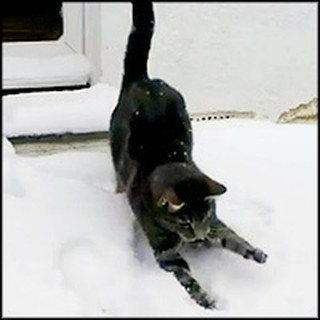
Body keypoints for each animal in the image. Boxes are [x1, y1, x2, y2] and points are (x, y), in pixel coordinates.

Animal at [110, 0, 268, 310]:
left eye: (204, 213)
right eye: (184, 221)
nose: (198, 238)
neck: (167, 160)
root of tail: (143, 79)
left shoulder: (214, 224)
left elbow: (232, 237)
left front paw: (253, 251)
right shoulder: (166, 254)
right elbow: (188, 280)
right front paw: (206, 300)